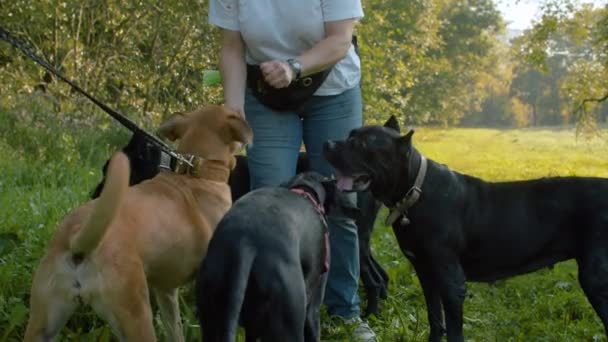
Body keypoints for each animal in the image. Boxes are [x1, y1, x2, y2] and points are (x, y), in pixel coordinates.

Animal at [23, 105, 252, 340]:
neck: (194, 174)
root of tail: (77, 240)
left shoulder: (166, 289)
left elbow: (175, 328)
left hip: (43, 322)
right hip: (135, 313)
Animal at [94, 135, 390, 316]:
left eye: (110, 171)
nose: (94, 196)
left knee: (373, 278)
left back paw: (370, 313)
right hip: (363, 242)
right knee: (380, 274)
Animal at [195, 172, 356, 340]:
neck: (305, 190)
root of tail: (246, 243)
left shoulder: (252, 326)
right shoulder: (313, 309)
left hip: (211, 316)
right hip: (289, 321)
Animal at [326, 116, 608, 340]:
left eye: (363, 145)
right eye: (350, 134)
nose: (327, 144)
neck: (414, 190)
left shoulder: (451, 280)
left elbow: (454, 330)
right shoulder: (426, 272)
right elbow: (435, 320)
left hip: (596, 278)